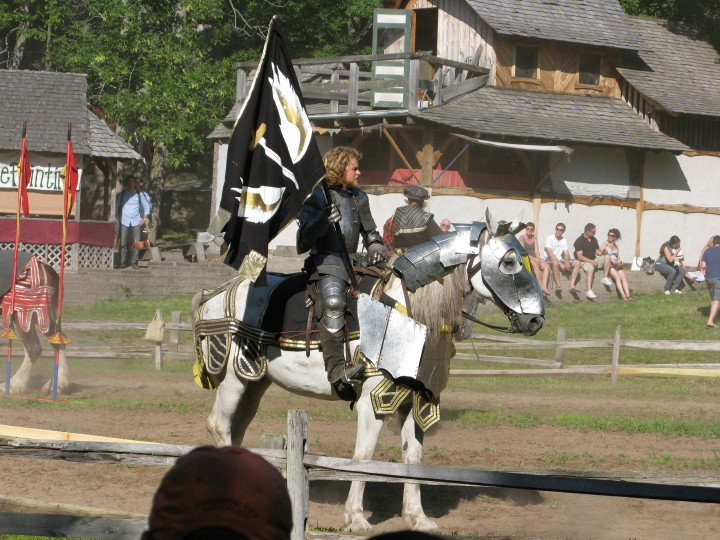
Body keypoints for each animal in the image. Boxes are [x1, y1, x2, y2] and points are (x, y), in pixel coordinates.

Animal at [0, 253, 70, 396]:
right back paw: (58, 384)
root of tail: (45, 267)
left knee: (34, 347)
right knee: (58, 340)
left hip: (25, 313)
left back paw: (12, 385)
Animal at [193, 218, 544, 532]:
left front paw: (417, 518)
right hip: (233, 380)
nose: (535, 321)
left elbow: (413, 458)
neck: (411, 314)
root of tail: (216, 294)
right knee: (218, 425)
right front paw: (356, 518)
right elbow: (364, 456)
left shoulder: (417, 399)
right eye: (509, 262)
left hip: (254, 383)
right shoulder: (375, 401)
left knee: (236, 429)